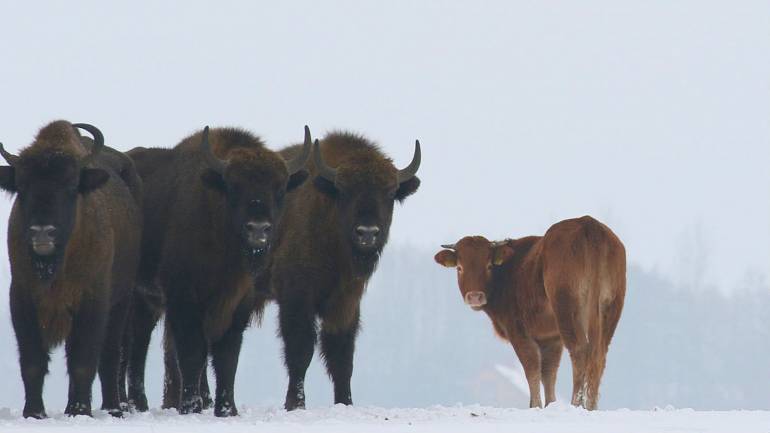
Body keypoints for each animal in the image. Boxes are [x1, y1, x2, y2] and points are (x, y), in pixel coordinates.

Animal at [0, 121, 142, 418]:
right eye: (22, 187)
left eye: (71, 186)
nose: (42, 232)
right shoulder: (22, 297)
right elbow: (32, 361)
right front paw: (34, 412)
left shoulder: (93, 300)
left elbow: (83, 360)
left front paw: (80, 411)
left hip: (121, 302)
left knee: (110, 356)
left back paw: (112, 408)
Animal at [124, 126, 312, 417]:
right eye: (234, 187)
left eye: (280, 189)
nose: (258, 229)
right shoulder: (184, 298)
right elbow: (192, 352)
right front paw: (191, 407)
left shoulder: (239, 303)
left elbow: (227, 356)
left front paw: (227, 409)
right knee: (133, 345)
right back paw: (133, 404)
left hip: (148, 301)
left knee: (139, 342)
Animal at [266, 131, 421, 410]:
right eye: (345, 190)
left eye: (390, 191)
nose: (367, 233)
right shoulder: (296, 297)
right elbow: (301, 349)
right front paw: (295, 404)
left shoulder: (346, 303)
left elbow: (342, 357)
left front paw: (345, 403)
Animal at [434, 216, 626, 410]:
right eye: (459, 267)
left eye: (488, 266)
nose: (475, 296)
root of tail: (589, 224)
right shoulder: (551, 338)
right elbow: (549, 372)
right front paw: (550, 404)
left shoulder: (519, 332)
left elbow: (532, 368)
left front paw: (535, 405)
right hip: (611, 308)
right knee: (599, 354)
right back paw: (591, 406)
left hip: (567, 309)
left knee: (579, 350)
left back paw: (576, 404)